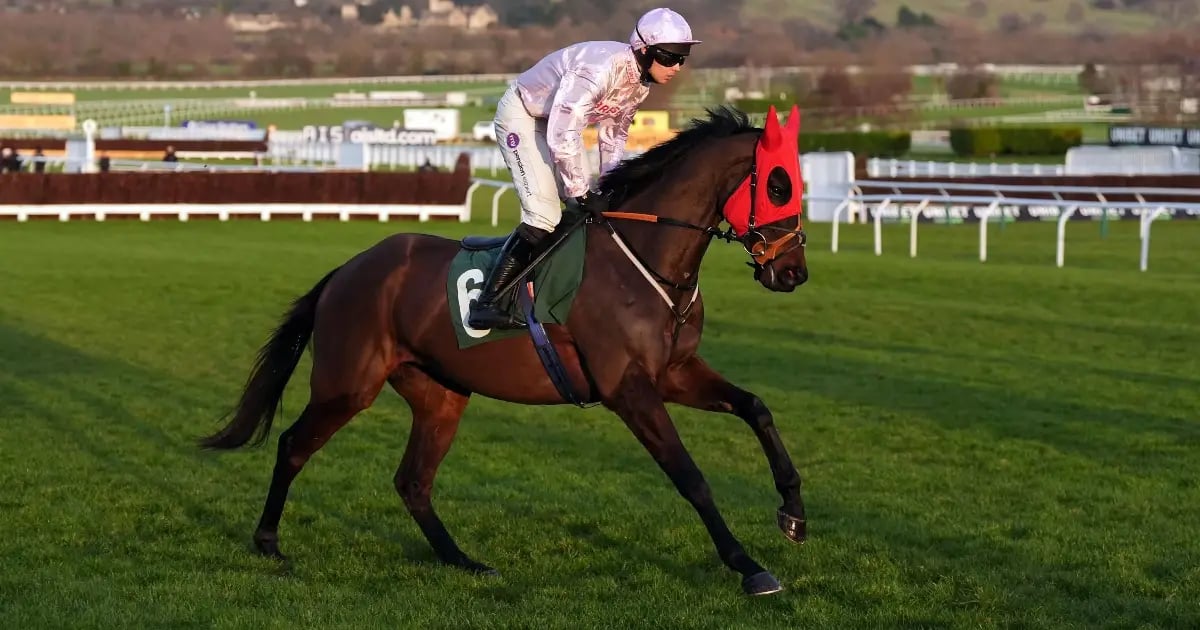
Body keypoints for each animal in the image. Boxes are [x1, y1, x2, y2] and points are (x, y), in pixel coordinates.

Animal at [199, 104, 811, 597]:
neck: (646, 259)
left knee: (412, 481)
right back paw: (268, 540)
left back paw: (462, 560)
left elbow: (756, 407)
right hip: (346, 384)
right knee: (293, 445)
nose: (793, 273)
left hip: (440, 394)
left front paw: (793, 511)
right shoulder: (628, 388)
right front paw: (748, 566)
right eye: (779, 186)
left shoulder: (675, 372)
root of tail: (346, 271)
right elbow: (690, 476)